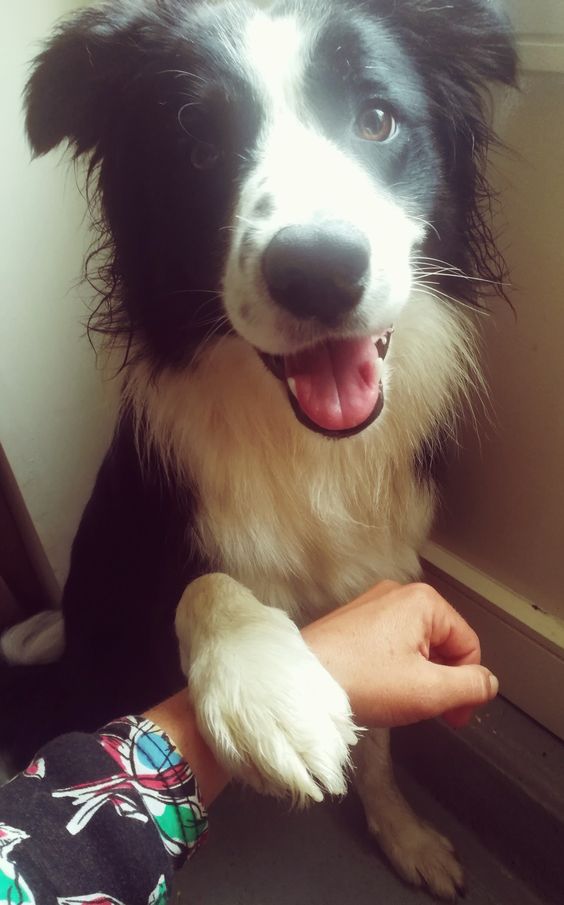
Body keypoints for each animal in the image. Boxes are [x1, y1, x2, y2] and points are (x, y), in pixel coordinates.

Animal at [4, 1, 516, 896]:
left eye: (376, 119)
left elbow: (379, 748)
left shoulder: (380, 568)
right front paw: (269, 686)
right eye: (198, 150)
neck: (304, 442)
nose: (318, 272)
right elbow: (205, 580)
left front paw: (404, 833)